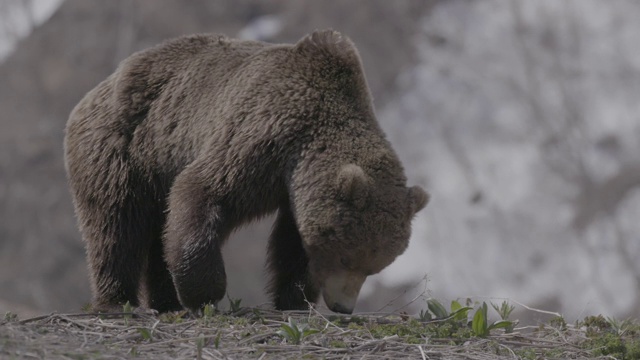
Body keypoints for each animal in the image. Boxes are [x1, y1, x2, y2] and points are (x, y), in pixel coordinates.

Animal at [65, 29, 428, 314]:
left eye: (375, 266)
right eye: (346, 258)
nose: (343, 307)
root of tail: (94, 91)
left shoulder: (295, 186)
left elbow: (292, 243)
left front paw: (293, 298)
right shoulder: (262, 139)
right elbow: (204, 190)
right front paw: (206, 292)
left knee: (156, 231)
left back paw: (166, 301)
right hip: (125, 148)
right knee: (116, 224)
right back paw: (117, 300)